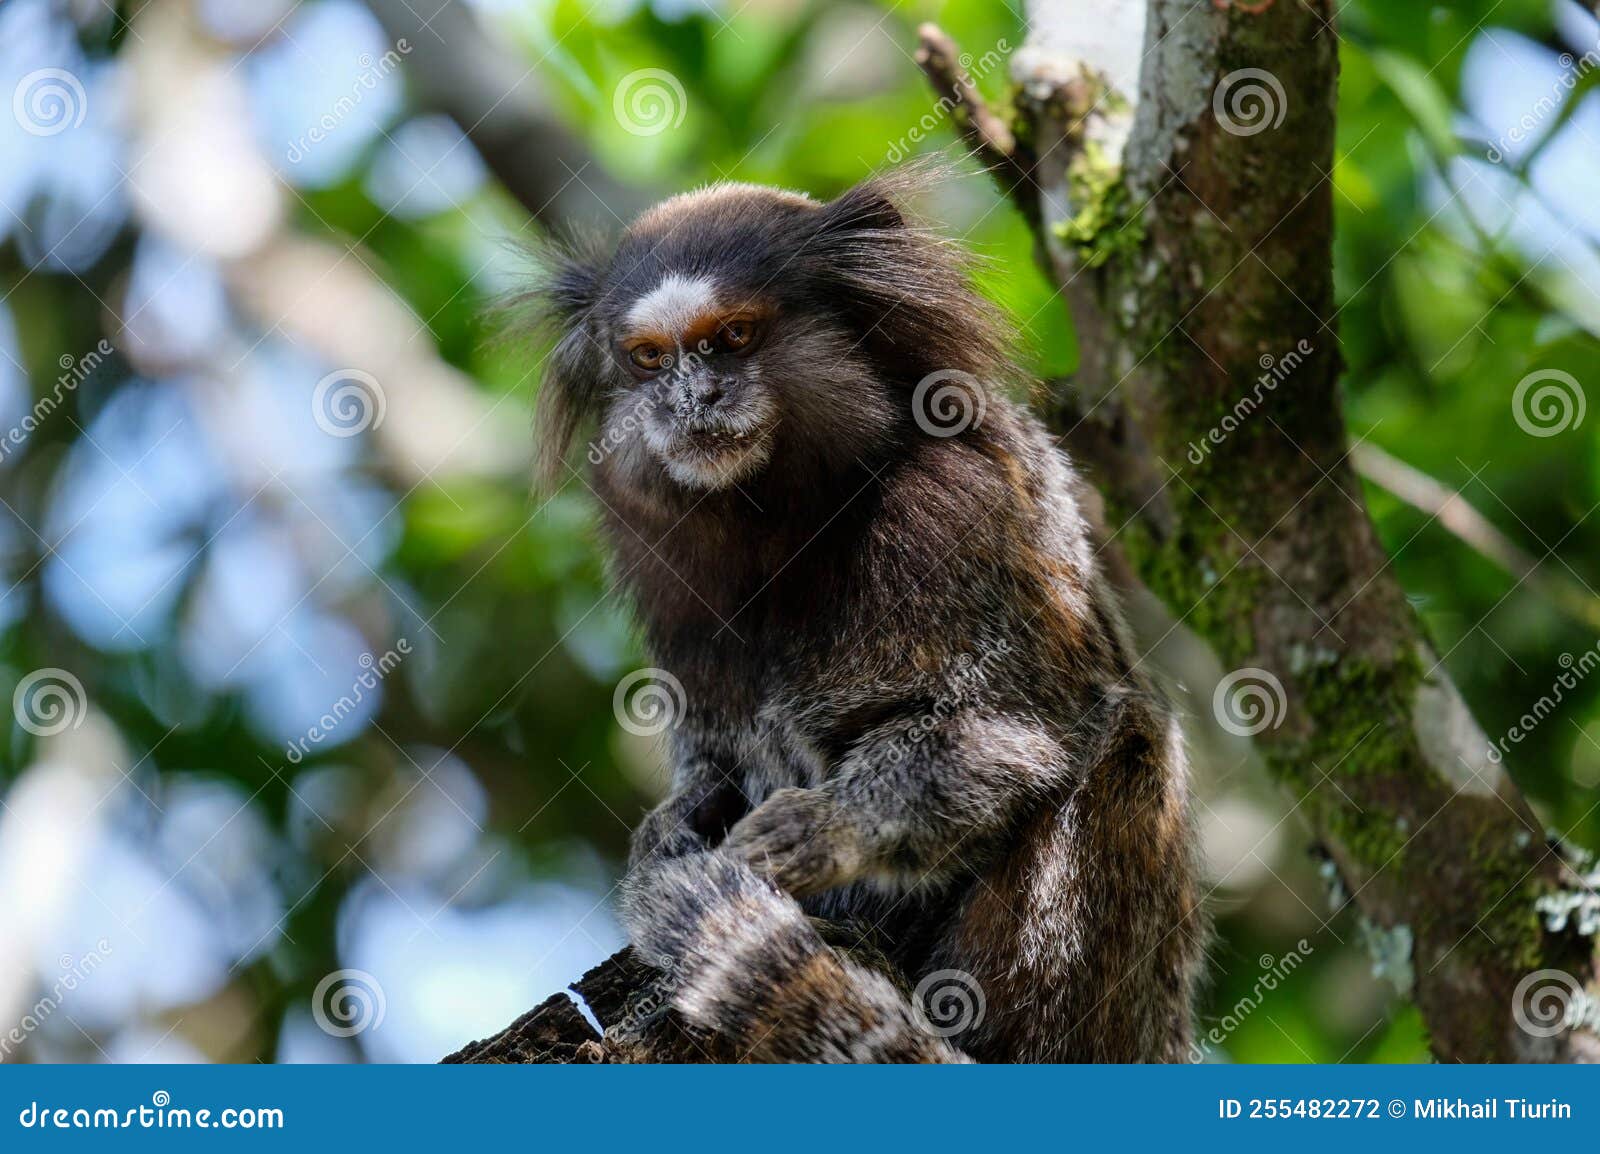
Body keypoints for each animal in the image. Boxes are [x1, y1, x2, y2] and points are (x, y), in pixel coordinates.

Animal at [531, 168, 1203, 1062]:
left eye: (733, 337)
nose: (691, 398)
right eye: (649, 359)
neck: (792, 521)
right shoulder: (663, 574)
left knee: (1131, 735)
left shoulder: (966, 513)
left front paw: (825, 829)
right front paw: (675, 824)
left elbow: (1004, 732)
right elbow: (711, 755)